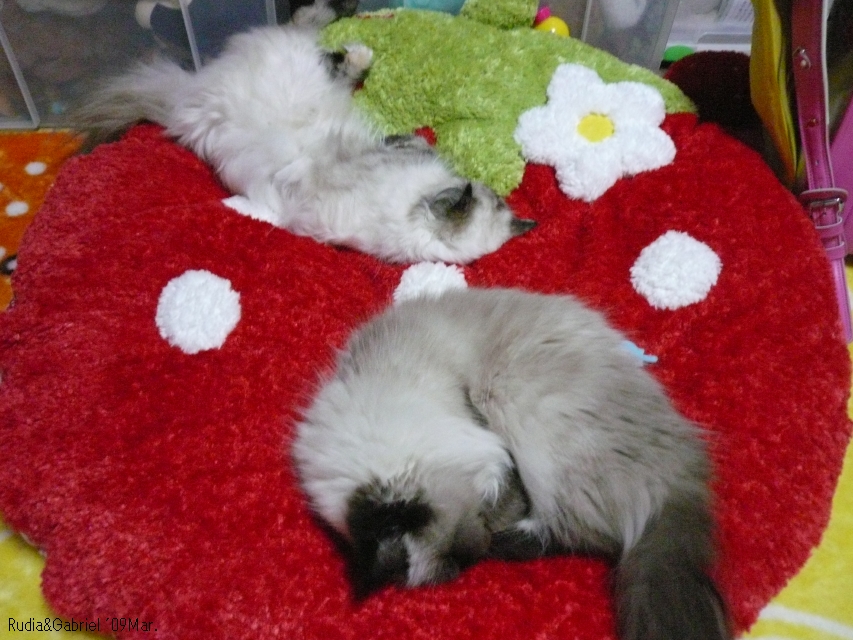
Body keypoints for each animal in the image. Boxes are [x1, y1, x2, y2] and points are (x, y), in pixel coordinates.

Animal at [73, 0, 535, 264]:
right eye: (494, 198)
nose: (485, 187)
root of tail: (182, 100)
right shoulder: (393, 150)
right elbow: (413, 139)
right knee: (312, 35)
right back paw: (357, 46)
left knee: (312, 33)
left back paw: (352, 43)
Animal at [292, 287, 731, 640]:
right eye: (458, 564)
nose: (479, 552)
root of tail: (682, 474)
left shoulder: (481, 437)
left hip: (520, 406)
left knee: (574, 531)